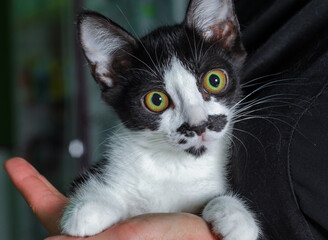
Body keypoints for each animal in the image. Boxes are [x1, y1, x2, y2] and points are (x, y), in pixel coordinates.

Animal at [61, 0, 260, 239]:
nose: (200, 125)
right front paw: (89, 206)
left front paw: (235, 215)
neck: (173, 165)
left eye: (214, 80)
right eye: (156, 100)